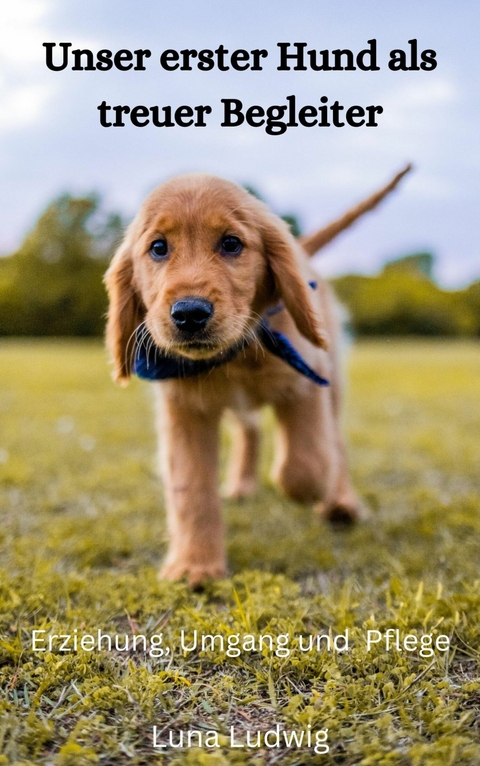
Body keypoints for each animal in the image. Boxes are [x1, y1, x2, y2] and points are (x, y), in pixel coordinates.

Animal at [107, 164, 410, 584]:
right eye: (158, 248)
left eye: (232, 244)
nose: (189, 313)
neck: (236, 356)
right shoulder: (184, 410)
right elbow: (191, 489)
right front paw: (194, 566)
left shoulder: (306, 383)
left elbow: (306, 463)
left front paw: (314, 490)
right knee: (249, 429)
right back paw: (241, 484)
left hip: (332, 380)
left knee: (335, 441)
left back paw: (340, 501)